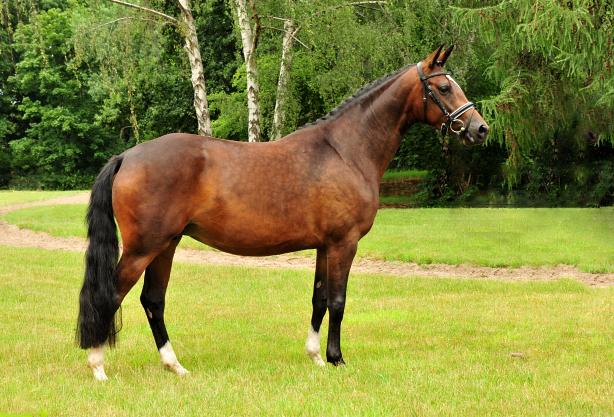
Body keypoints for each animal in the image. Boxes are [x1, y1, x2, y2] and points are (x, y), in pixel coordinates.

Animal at [77, 45, 490, 380]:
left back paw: (174, 365)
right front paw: (337, 359)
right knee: (111, 295)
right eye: (443, 88)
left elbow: (320, 299)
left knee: (153, 301)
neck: (346, 149)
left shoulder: (325, 246)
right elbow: (338, 301)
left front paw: (316, 357)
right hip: (144, 248)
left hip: (166, 244)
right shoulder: (344, 243)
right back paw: (98, 367)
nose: (480, 129)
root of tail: (127, 156)